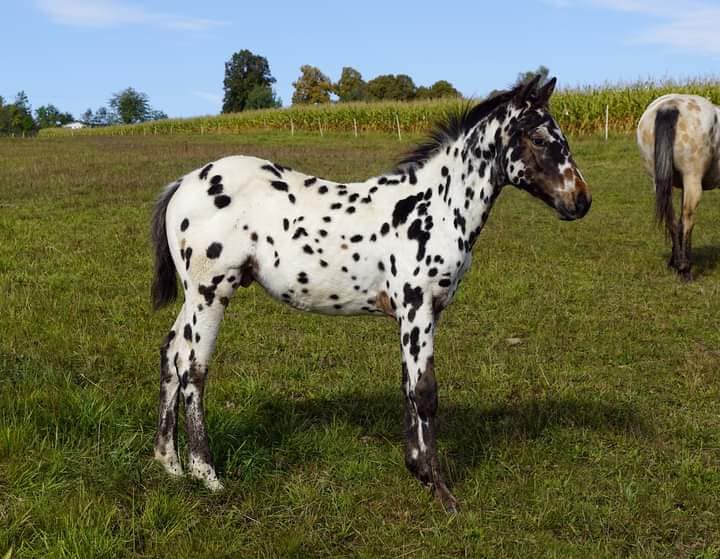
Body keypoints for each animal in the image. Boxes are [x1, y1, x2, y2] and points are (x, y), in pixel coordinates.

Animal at [150, 76, 592, 516]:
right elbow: (425, 392)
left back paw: (169, 463)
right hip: (211, 292)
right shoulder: (416, 307)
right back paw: (206, 473)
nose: (581, 201)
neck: (436, 206)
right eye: (539, 138)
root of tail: (183, 183)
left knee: (171, 352)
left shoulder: (423, 314)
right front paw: (442, 492)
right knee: (193, 368)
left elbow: (408, 386)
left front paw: (419, 471)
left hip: (194, 297)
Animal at [640, 94, 716, 284]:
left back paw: (675, 263)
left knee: (672, 218)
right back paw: (684, 269)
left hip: (660, 182)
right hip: (691, 178)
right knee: (688, 218)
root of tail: (670, 106)